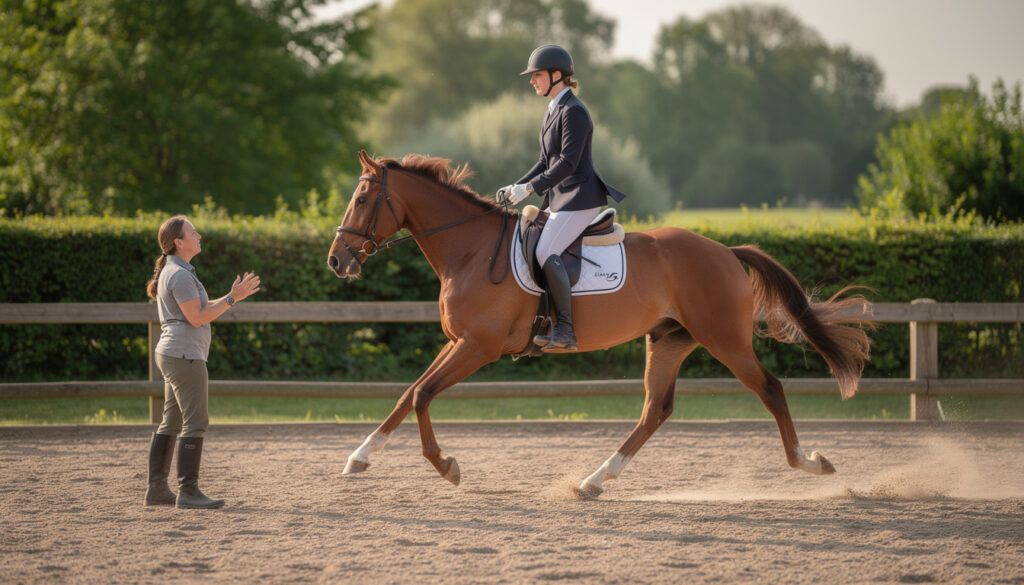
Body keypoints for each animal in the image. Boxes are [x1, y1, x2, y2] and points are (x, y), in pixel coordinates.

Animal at [326, 150, 873, 498]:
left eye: (361, 200)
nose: (336, 261)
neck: (470, 249)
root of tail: (724, 250)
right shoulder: (459, 342)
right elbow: (407, 394)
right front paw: (359, 457)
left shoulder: (477, 346)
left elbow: (422, 395)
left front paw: (448, 467)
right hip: (668, 342)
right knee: (655, 411)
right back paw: (593, 481)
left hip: (726, 341)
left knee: (771, 389)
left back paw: (810, 462)